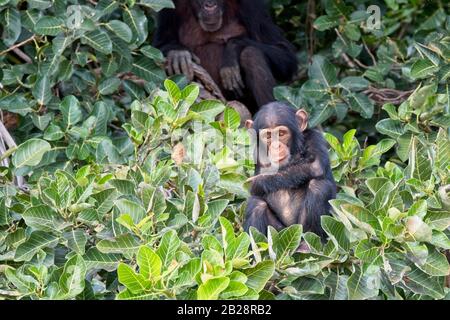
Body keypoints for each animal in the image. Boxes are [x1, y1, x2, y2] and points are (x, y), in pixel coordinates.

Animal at [154, 0, 298, 110]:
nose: (209, 4)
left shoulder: (253, 6)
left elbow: (284, 51)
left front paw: (231, 53)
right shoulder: (168, 7)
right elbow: (160, 44)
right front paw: (178, 54)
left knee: (251, 54)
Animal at [244, 102, 336, 240]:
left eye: (281, 133)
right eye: (268, 136)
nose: (276, 146)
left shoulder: (315, 137)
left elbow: (315, 165)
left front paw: (256, 182)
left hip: (301, 230)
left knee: (319, 187)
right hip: (278, 233)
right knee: (256, 205)